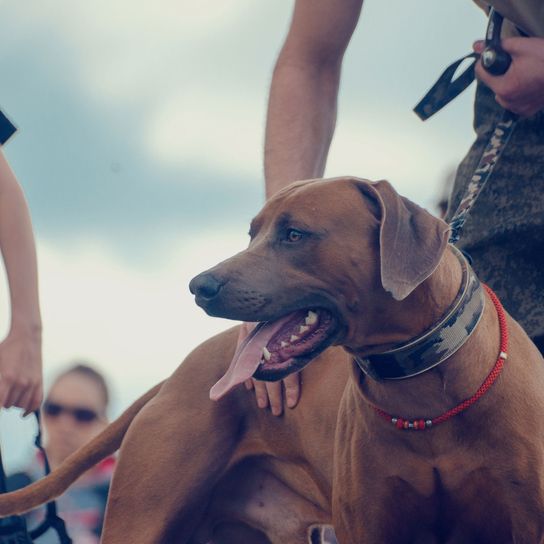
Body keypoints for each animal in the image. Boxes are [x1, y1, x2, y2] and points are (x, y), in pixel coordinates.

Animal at [1, 176, 544, 540]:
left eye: (295, 234)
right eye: (252, 233)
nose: (198, 286)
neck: (428, 387)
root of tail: (175, 375)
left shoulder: (524, 519)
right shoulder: (370, 525)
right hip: (142, 517)